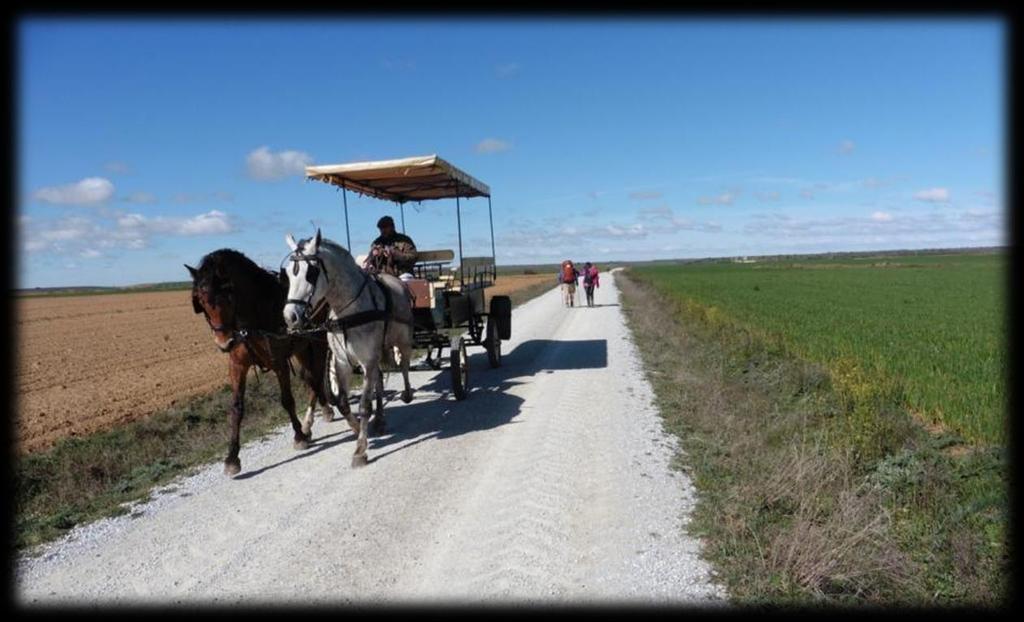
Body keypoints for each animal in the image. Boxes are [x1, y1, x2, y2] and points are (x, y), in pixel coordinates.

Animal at [186, 247, 354, 477]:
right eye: (201, 302)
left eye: (228, 298)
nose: (225, 343)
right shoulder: (237, 366)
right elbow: (236, 408)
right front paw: (232, 457)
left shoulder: (279, 362)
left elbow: (287, 400)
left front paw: (299, 436)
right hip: (302, 348)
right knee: (311, 378)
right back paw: (319, 414)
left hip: (318, 343)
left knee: (317, 375)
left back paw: (312, 420)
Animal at [282, 229, 413, 467]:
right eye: (288, 273)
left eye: (311, 273)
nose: (290, 317)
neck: (349, 313)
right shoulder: (342, 362)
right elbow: (343, 403)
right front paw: (357, 429)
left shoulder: (367, 360)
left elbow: (363, 406)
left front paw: (360, 450)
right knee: (379, 382)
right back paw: (380, 420)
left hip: (403, 341)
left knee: (405, 365)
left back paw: (406, 394)